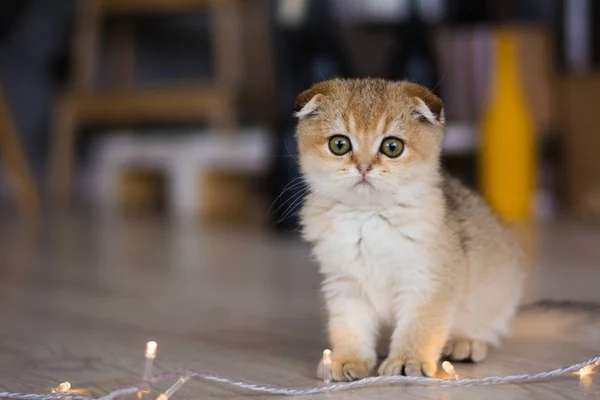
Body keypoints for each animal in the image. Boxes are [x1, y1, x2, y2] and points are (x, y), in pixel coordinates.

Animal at [296, 79, 524, 382]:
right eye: (339, 144)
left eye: (392, 147)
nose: (364, 167)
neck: (369, 218)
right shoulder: (344, 284)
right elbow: (348, 328)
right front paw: (347, 359)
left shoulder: (428, 281)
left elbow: (420, 327)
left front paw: (408, 360)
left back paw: (464, 342)